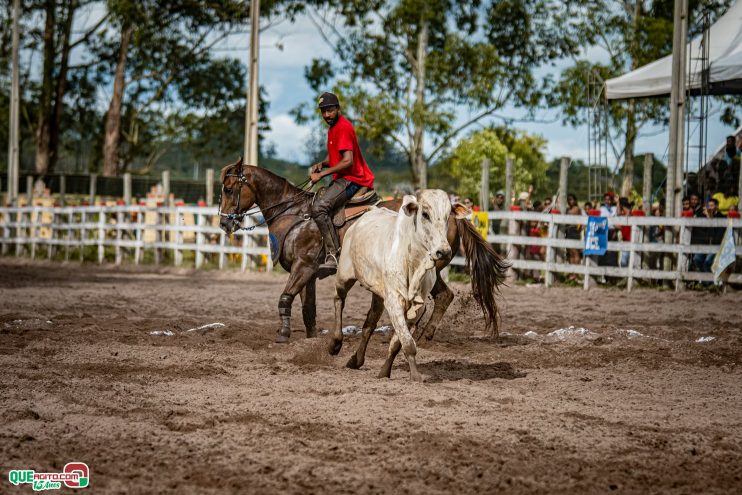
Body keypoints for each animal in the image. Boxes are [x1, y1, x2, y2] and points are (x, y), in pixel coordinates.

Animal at [219, 158, 512, 348]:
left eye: (229, 189)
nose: (224, 223)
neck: (296, 214)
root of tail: (450, 213)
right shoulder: (307, 273)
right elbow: (308, 309)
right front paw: (312, 338)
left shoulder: (303, 267)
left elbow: (284, 297)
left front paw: (283, 333)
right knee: (444, 296)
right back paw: (423, 335)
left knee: (434, 299)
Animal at [328, 190, 468, 384]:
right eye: (425, 214)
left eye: (448, 216)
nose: (443, 251)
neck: (413, 261)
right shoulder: (394, 301)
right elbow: (408, 343)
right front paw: (415, 376)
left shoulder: (416, 307)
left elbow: (398, 342)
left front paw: (384, 372)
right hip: (344, 276)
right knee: (338, 299)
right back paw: (335, 343)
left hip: (378, 294)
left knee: (369, 324)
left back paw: (356, 360)